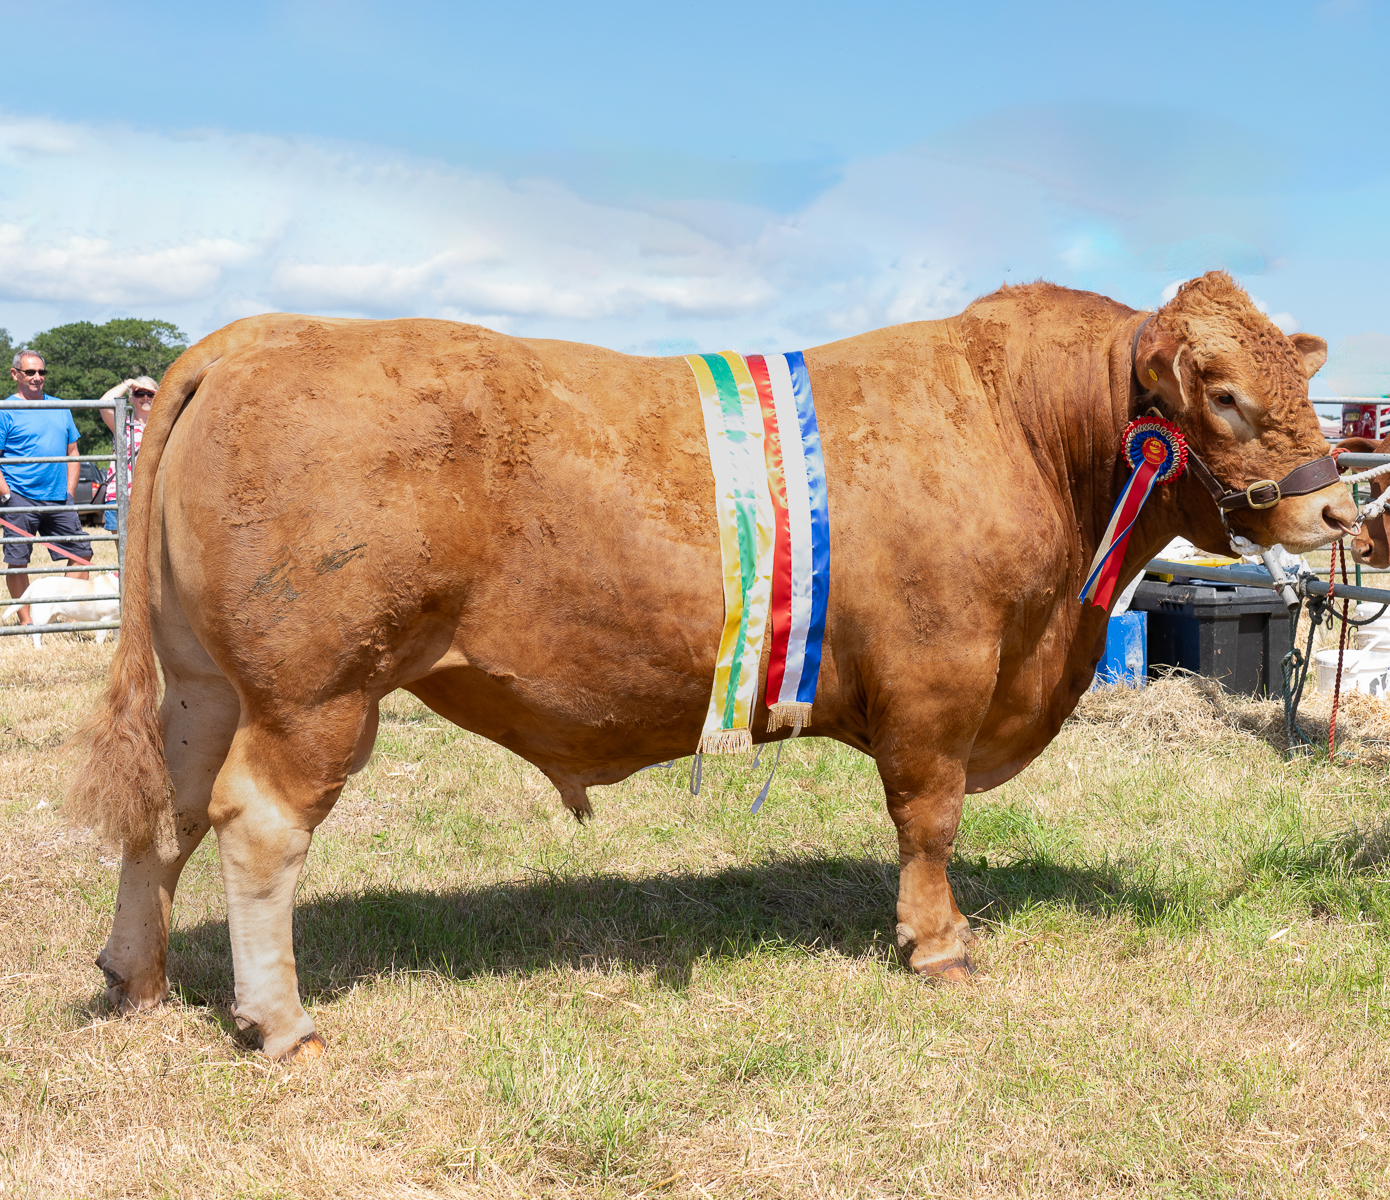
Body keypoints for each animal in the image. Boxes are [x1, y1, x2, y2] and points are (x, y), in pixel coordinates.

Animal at [67, 271, 1355, 1061]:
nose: (1341, 509)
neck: (1021, 430)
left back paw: (137, 981)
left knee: (169, 813)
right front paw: (938, 947)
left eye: (1300, 385)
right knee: (256, 825)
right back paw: (280, 1022)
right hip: (316, 691)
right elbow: (928, 819)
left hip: (201, 684)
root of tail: (260, 333)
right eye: (1224, 397)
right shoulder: (940, 672)